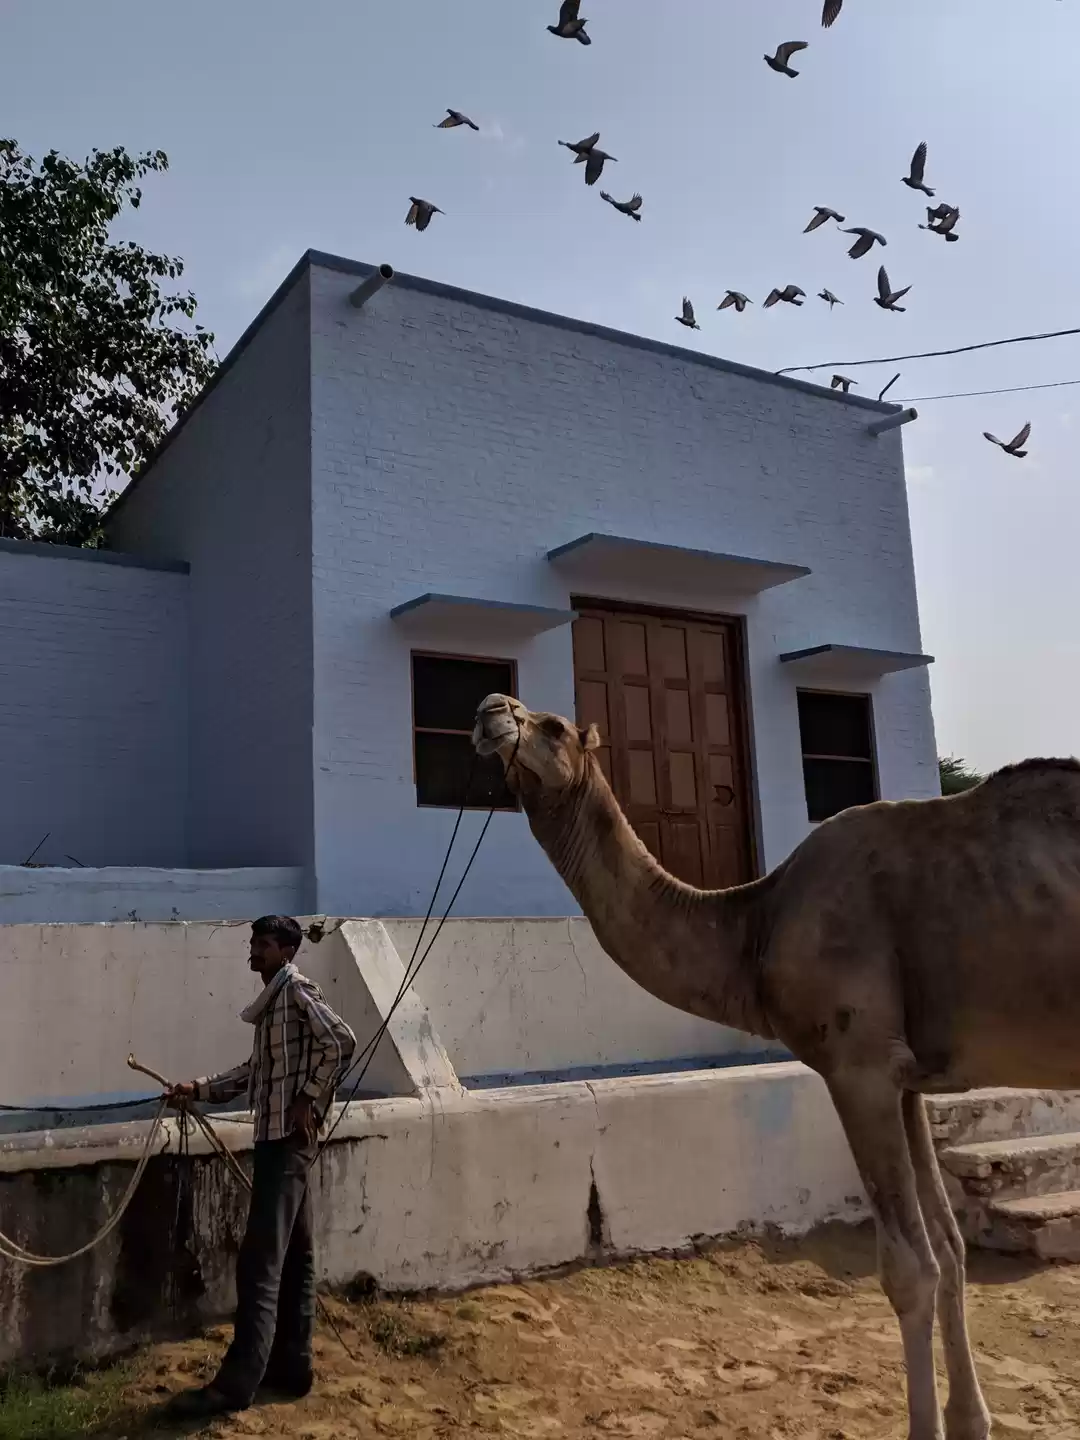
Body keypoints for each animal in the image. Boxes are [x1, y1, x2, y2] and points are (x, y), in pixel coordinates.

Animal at [472, 692, 1080, 1440]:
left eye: (553, 726)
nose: (489, 710)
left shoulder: (859, 1065)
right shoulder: (908, 1079)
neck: (759, 924)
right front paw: (969, 1419)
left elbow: (909, 1269)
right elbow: (950, 1247)